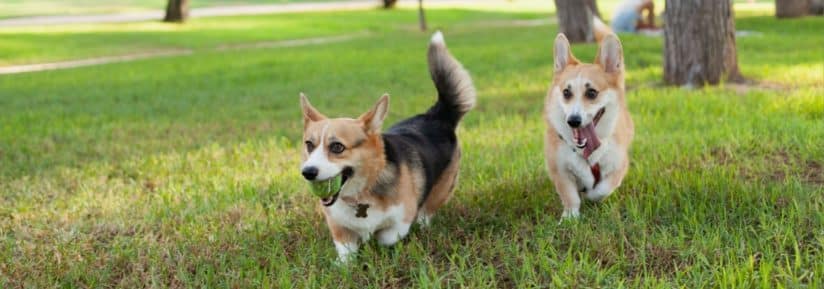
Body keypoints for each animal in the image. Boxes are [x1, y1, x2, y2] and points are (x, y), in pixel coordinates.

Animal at [300, 31, 474, 260]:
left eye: (337, 147)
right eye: (309, 145)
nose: (307, 172)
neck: (361, 193)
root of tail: (437, 115)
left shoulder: (402, 219)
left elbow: (387, 236)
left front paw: (375, 243)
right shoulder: (339, 227)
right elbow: (346, 251)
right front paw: (345, 264)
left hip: (442, 188)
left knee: (426, 212)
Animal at [548, 33, 636, 218]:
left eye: (592, 93)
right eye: (566, 92)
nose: (573, 120)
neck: (586, 152)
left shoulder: (619, 166)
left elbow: (602, 190)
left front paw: (591, 196)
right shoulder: (560, 170)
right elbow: (570, 196)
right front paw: (570, 217)